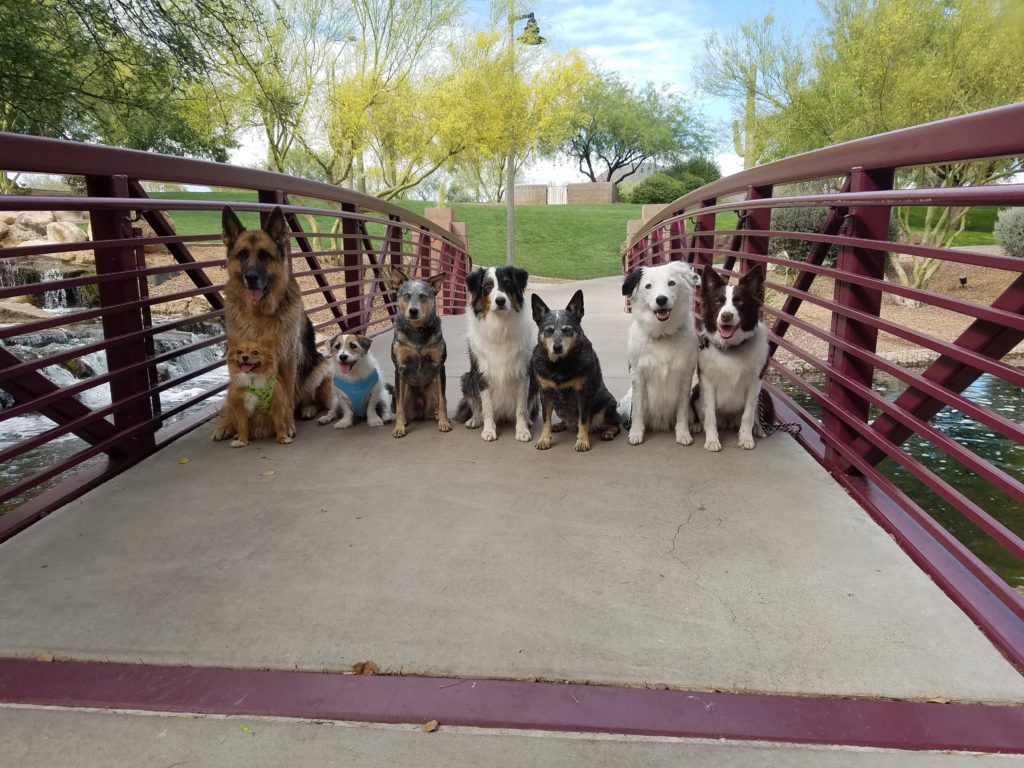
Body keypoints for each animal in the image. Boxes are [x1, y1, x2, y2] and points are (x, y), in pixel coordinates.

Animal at [212, 207, 331, 444]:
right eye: (242, 254)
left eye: (265, 255)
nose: (251, 277)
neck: (260, 313)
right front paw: (228, 424)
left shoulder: (287, 358)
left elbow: (286, 395)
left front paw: (287, 426)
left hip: (319, 367)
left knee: (311, 397)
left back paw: (308, 409)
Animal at [385, 268, 450, 438]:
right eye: (406, 295)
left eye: (423, 296)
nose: (413, 311)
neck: (417, 332)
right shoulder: (400, 368)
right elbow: (399, 406)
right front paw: (399, 428)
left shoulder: (439, 366)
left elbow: (443, 400)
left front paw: (444, 422)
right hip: (403, 389)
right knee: (399, 404)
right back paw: (405, 421)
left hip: (433, 384)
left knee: (438, 400)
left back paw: (437, 415)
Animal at [532, 290, 618, 454]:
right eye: (548, 330)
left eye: (567, 330)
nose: (557, 347)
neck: (559, 365)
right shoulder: (545, 393)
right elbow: (546, 420)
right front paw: (544, 439)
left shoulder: (583, 394)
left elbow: (583, 420)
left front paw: (582, 441)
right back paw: (559, 425)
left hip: (605, 404)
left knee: (615, 423)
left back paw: (608, 432)